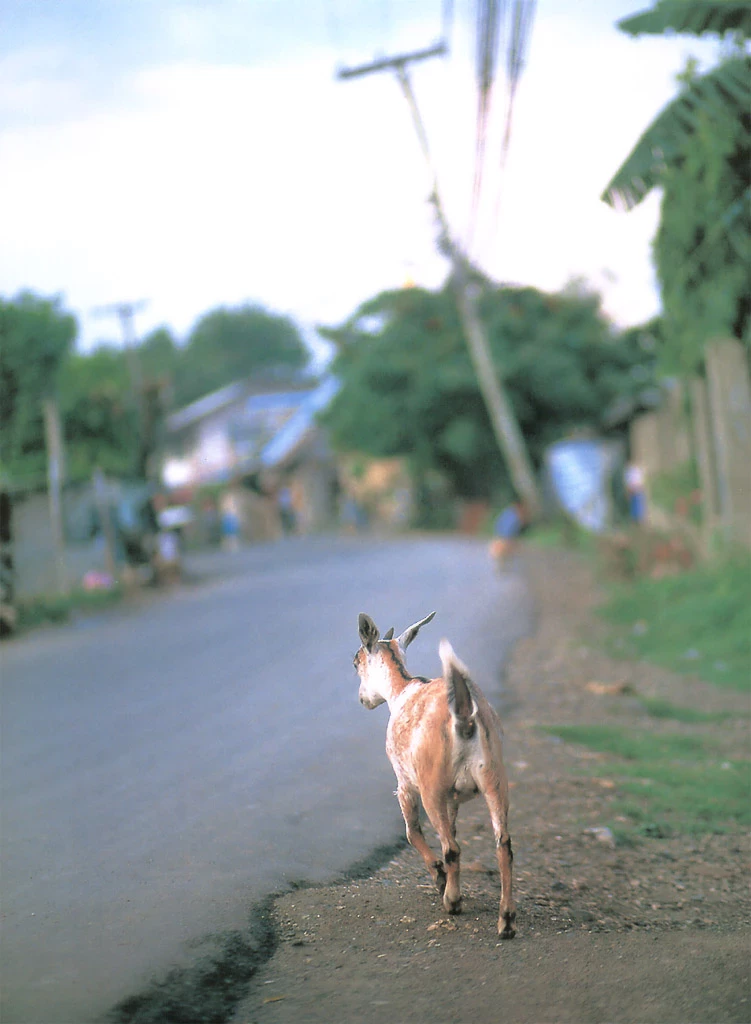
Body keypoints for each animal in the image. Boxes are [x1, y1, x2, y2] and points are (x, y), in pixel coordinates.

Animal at [354, 610, 512, 937]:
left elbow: (412, 832)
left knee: (452, 848)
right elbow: (450, 829)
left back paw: (452, 901)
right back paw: (506, 921)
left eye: (355, 661)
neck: (402, 689)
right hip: (495, 779)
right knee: (502, 844)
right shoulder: (453, 796)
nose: (363, 699)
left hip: (431, 789)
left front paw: (440, 878)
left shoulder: (405, 784)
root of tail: (464, 717)